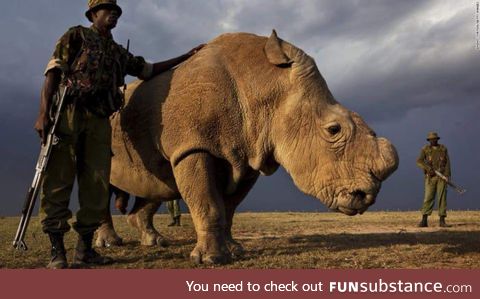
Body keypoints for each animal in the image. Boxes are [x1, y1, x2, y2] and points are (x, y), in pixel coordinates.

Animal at [95, 30, 400, 264]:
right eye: (333, 130)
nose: (366, 197)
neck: (265, 84)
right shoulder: (194, 146)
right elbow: (209, 203)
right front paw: (210, 260)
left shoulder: (248, 155)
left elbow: (228, 207)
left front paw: (234, 250)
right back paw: (109, 244)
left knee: (156, 183)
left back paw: (154, 241)